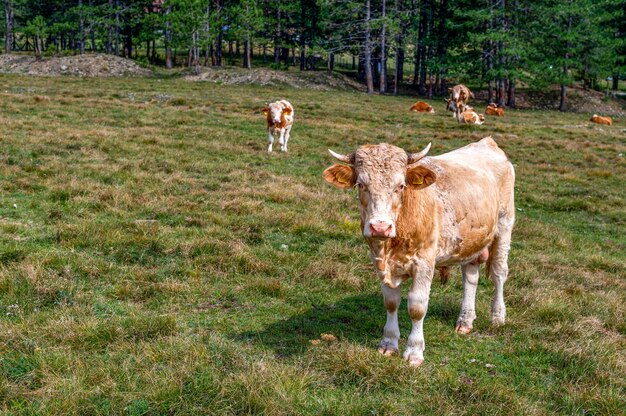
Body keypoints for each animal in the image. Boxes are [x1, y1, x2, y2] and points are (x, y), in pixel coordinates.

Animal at [322, 137, 512, 368]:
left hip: (504, 225)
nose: (380, 227)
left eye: (401, 185)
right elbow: (391, 302)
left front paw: (414, 351)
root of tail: (487, 142)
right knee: (470, 277)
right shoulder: (379, 263)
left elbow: (417, 306)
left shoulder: (424, 263)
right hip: (472, 240)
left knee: (499, 273)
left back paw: (498, 316)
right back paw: (465, 320)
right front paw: (389, 343)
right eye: (361, 184)